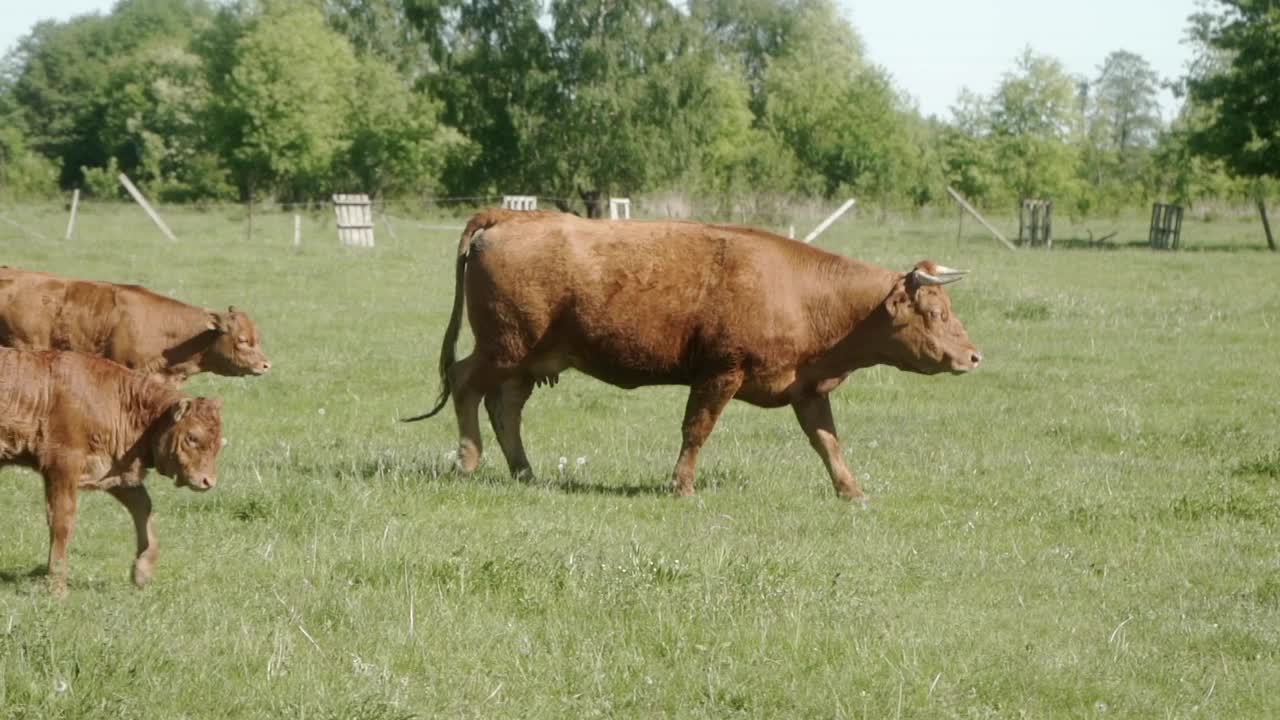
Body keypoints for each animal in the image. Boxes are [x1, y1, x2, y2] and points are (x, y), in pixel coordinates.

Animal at [0, 345, 222, 591]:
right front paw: (57, 586)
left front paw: (142, 571)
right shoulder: (62, 466)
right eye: (192, 437)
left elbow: (143, 506)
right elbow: (62, 520)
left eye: (218, 442)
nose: (207, 481)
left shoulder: (113, 469)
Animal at [409, 210, 977, 497]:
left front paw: (851, 491)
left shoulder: (808, 390)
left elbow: (827, 443)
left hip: (526, 360)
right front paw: (681, 485)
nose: (974, 357)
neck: (805, 293)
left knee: (505, 407)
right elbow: (696, 430)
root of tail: (509, 217)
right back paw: (467, 461)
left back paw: (525, 472)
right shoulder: (720, 373)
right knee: (464, 383)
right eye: (935, 312)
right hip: (503, 348)